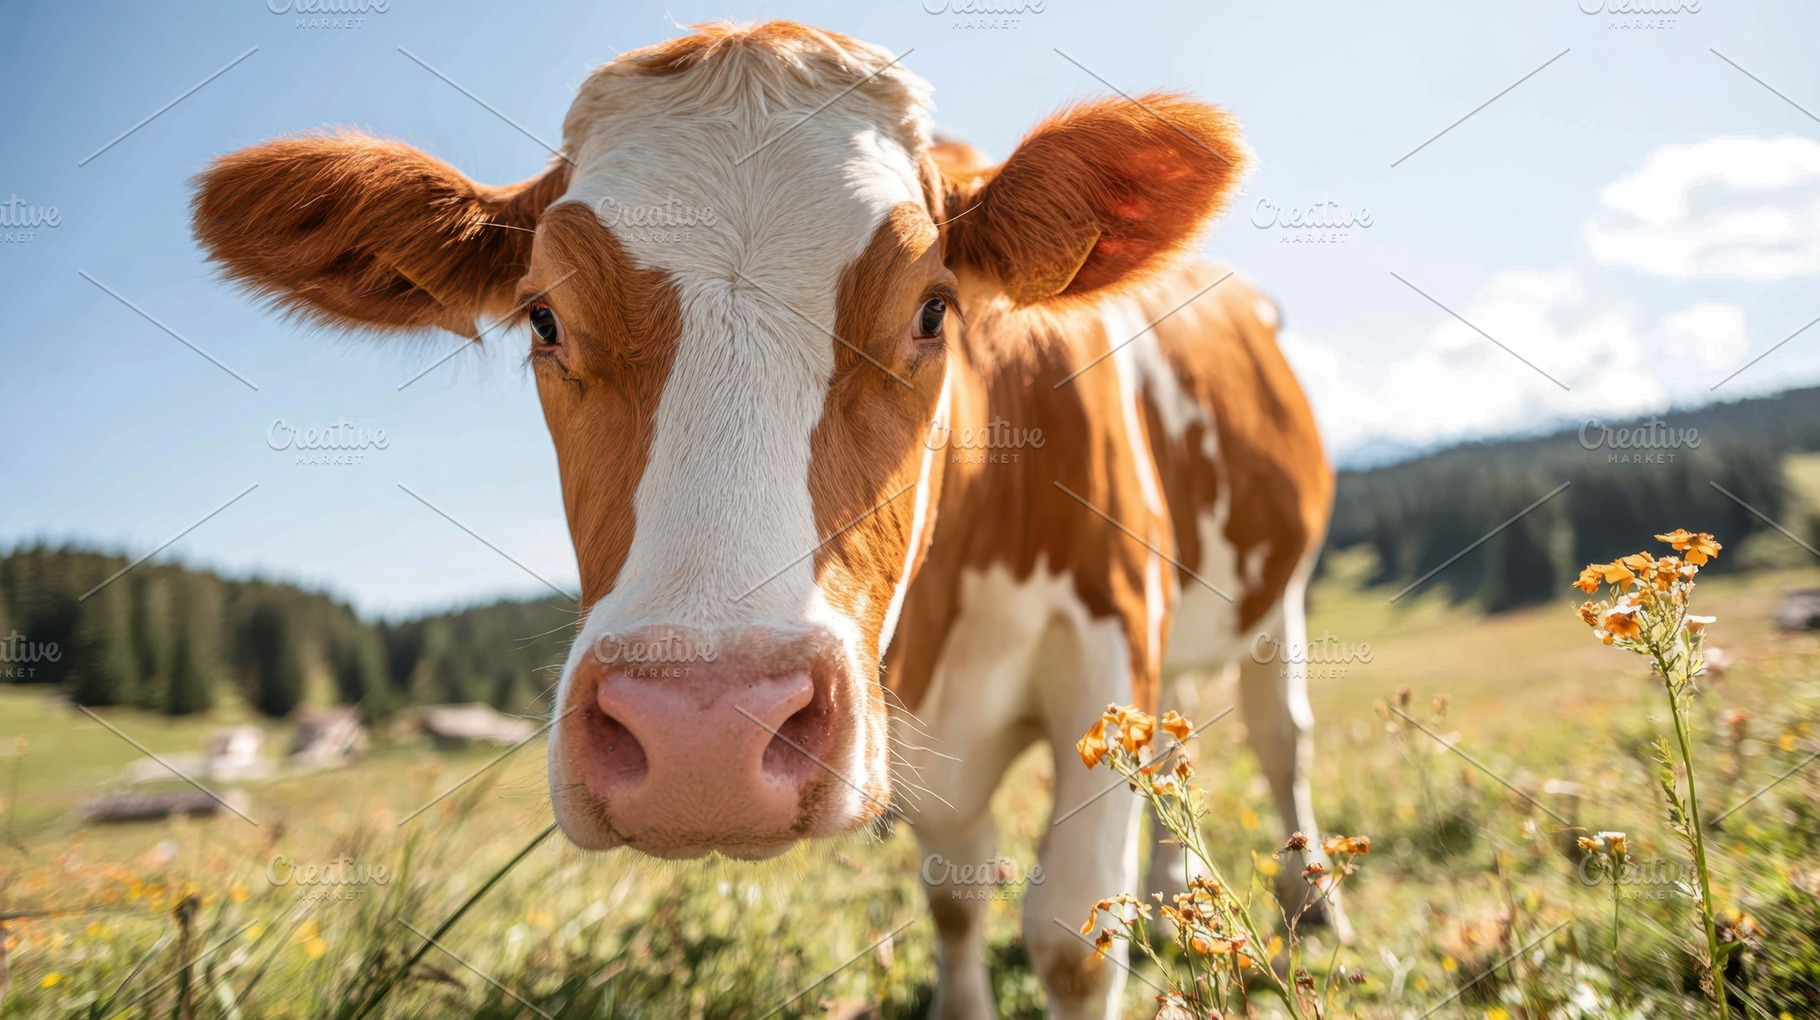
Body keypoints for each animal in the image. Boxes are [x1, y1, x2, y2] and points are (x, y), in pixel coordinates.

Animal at [191, 21, 1339, 1018]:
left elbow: (1068, 942)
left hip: (1277, 592)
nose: (702, 733)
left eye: (933, 310)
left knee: (1280, 740)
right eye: (543, 318)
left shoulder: (1105, 645)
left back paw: (1312, 900)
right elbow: (952, 895)